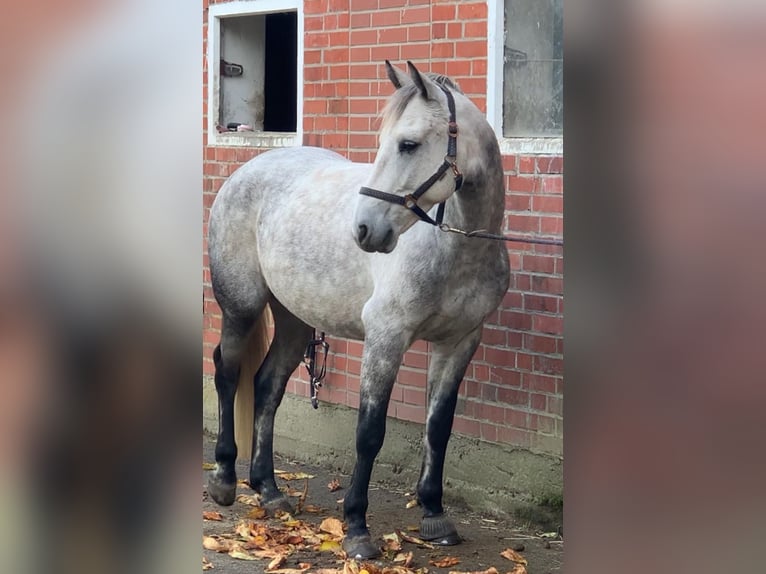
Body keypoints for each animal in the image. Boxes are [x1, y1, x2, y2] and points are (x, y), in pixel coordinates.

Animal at [206, 61, 510, 560]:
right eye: (383, 142)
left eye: (408, 144)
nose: (365, 230)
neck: (455, 248)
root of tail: (247, 169)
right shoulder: (386, 338)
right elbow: (369, 433)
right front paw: (356, 528)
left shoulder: (460, 342)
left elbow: (438, 426)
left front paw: (434, 514)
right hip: (242, 306)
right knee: (227, 374)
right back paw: (225, 480)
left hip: (295, 319)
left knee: (267, 385)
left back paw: (269, 490)